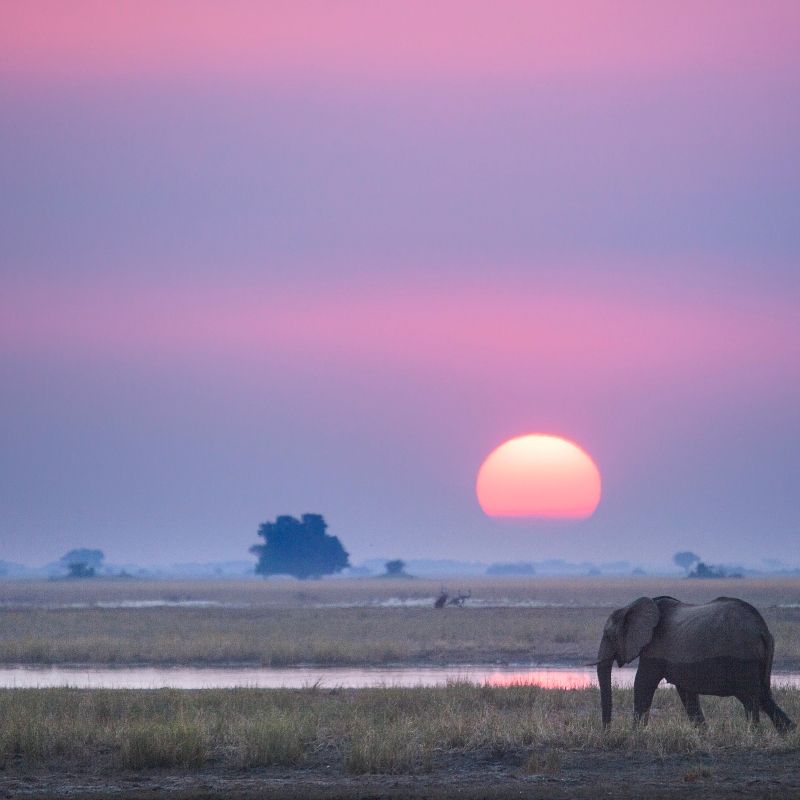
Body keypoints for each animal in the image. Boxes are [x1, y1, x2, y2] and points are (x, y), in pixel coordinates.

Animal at [594, 596, 795, 732]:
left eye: (609, 636)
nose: (607, 732)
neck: (630, 606)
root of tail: (762, 630)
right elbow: (686, 692)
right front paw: (705, 734)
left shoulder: (654, 649)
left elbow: (643, 684)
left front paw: (635, 734)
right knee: (763, 695)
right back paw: (789, 733)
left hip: (743, 659)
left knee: (751, 698)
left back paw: (754, 734)